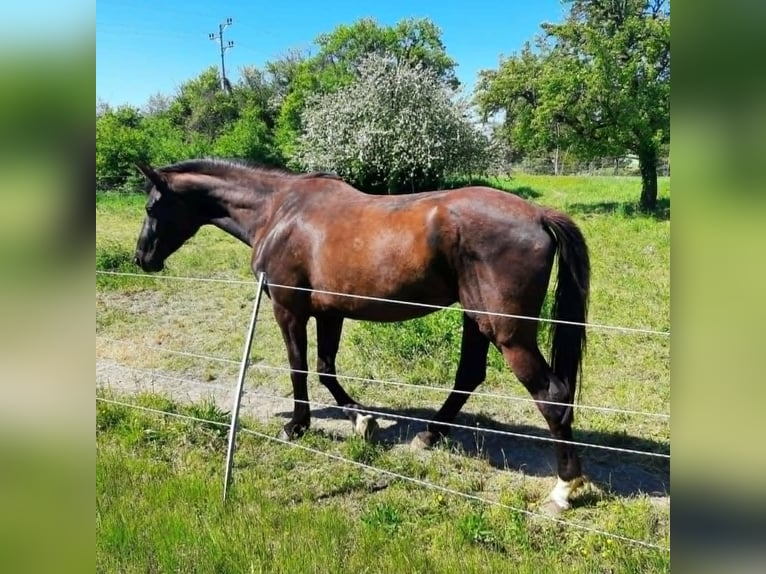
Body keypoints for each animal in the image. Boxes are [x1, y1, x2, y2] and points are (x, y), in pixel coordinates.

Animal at [133, 158, 590, 513]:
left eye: (152, 206)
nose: (142, 258)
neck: (278, 211)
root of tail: (538, 215)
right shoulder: (329, 312)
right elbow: (325, 369)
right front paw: (361, 419)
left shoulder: (289, 311)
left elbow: (299, 369)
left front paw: (296, 426)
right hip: (476, 319)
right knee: (469, 376)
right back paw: (429, 434)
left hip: (507, 332)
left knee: (551, 396)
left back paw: (563, 490)